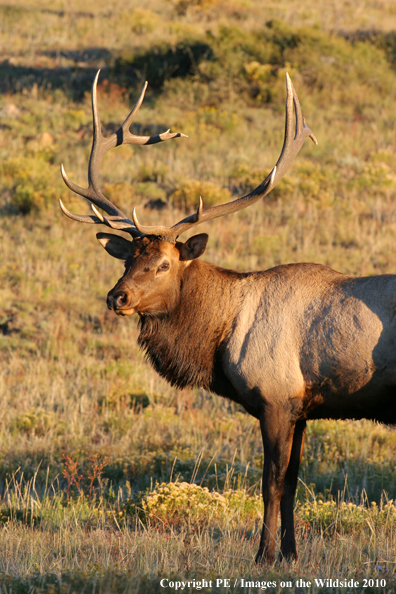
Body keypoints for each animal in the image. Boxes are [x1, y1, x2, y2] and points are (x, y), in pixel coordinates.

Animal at [60, 71, 392, 560]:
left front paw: (264, 555)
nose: (116, 297)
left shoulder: (275, 398)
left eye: (165, 264)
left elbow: (270, 484)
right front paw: (291, 554)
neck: (221, 337)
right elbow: (292, 485)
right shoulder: (302, 408)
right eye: (128, 259)